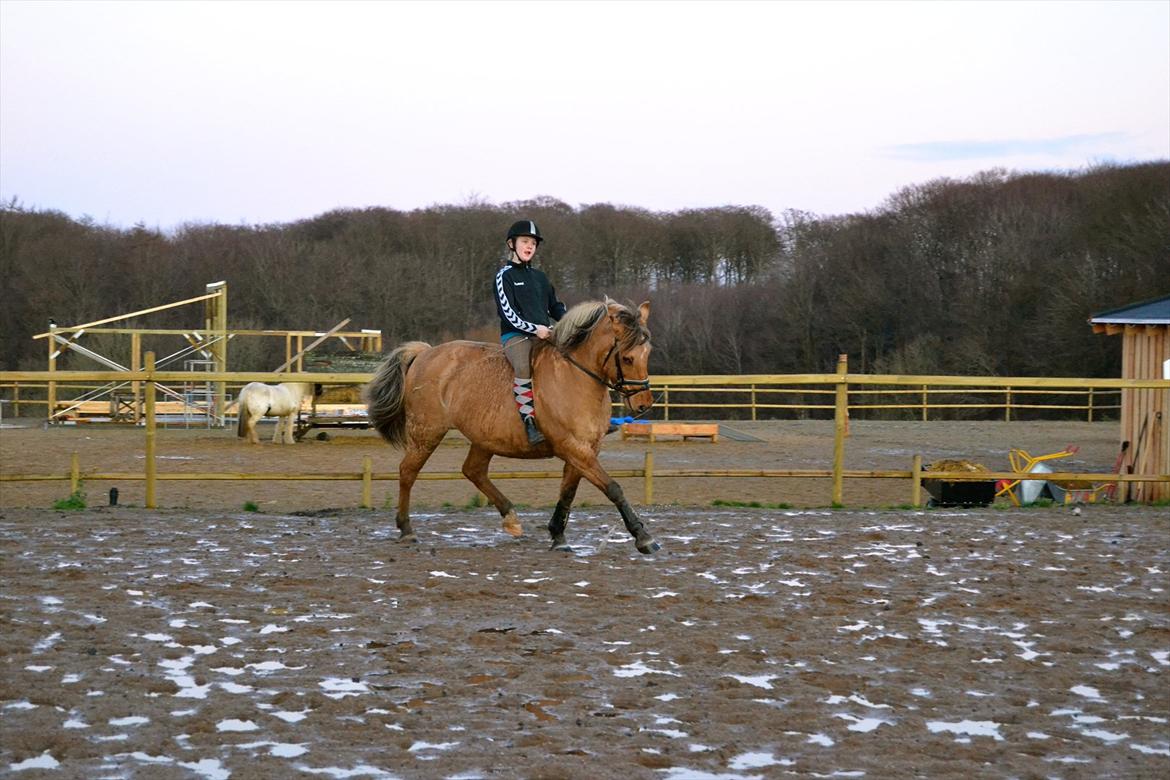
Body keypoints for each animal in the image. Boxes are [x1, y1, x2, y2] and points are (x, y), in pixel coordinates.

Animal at [365, 299, 659, 554]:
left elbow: (568, 492)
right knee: (408, 472)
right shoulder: (573, 448)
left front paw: (558, 535)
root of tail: (425, 353)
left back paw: (511, 518)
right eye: (628, 358)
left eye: (648, 353)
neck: (576, 377)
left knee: (473, 471)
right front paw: (643, 537)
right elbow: (613, 488)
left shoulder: (585, 449)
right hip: (426, 431)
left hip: (483, 438)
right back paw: (406, 529)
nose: (643, 404)